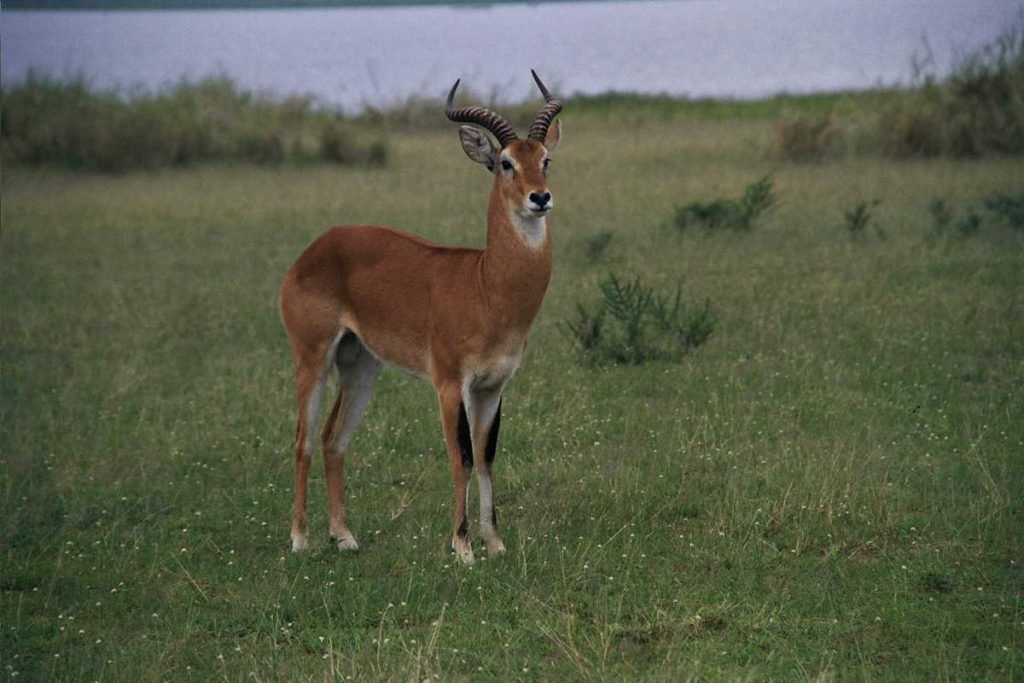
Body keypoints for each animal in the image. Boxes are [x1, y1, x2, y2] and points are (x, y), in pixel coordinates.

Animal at [280, 70, 565, 565]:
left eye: (545, 159)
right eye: (505, 162)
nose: (540, 197)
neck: (485, 286)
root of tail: (314, 249)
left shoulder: (493, 386)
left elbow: (487, 456)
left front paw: (495, 543)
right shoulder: (450, 384)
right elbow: (461, 458)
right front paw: (463, 548)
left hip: (361, 366)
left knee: (334, 438)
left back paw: (345, 536)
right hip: (312, 357)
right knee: (303, 439)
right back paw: (300, 539)